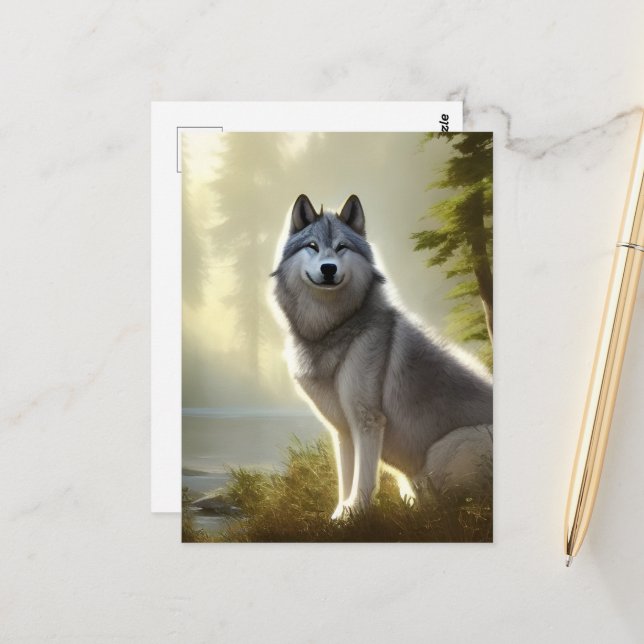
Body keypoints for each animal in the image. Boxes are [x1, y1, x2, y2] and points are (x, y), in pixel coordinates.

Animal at [271, 194, 492, 519]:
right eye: (312, 246)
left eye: (342, 247)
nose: (328, 268)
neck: (334, 329)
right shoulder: (342, 429)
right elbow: (345, 478)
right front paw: (339, 515)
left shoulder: (368, 421)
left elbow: (364, 478)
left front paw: (356, 515)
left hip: (440, 454)